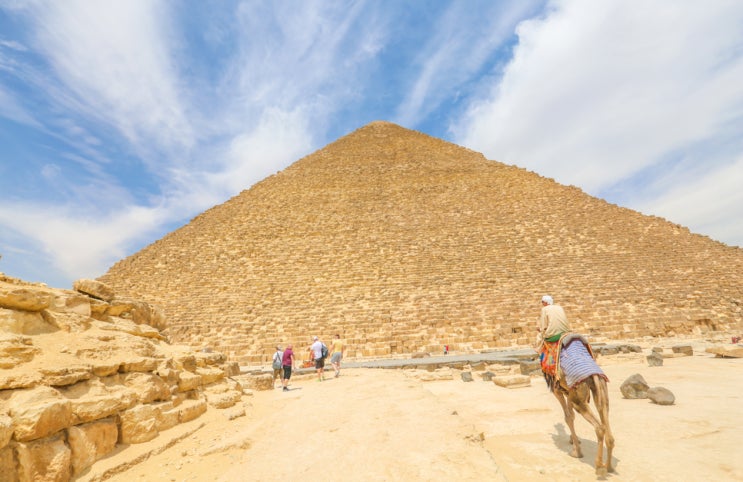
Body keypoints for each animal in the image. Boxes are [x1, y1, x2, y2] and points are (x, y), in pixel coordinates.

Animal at [542, 333, 615, 476]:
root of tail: (594, 375)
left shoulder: (558, 390)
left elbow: (568, 417)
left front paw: (577, 451)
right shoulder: (568, 391)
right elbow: (571, 416)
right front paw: (573, 441)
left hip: (579, 397)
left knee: (599, 427)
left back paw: (599, 466)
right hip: (601, 392)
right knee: (607, 425)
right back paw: (609, 466)